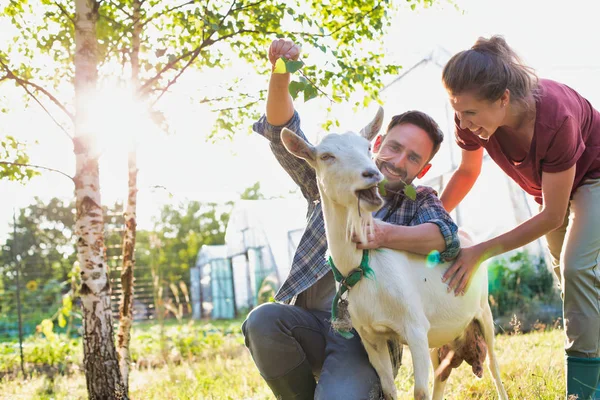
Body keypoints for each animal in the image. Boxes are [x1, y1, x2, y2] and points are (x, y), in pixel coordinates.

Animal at [280, 109, 506, 400]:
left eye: (367, 147)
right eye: (326, 156)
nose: (371, 173)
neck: (363, 267)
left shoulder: (416, 328)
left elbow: (419, 392)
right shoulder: (371, 337)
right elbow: (388, 389)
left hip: (483, 312)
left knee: (492, 365)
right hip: (442, 336)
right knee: (441, 375)